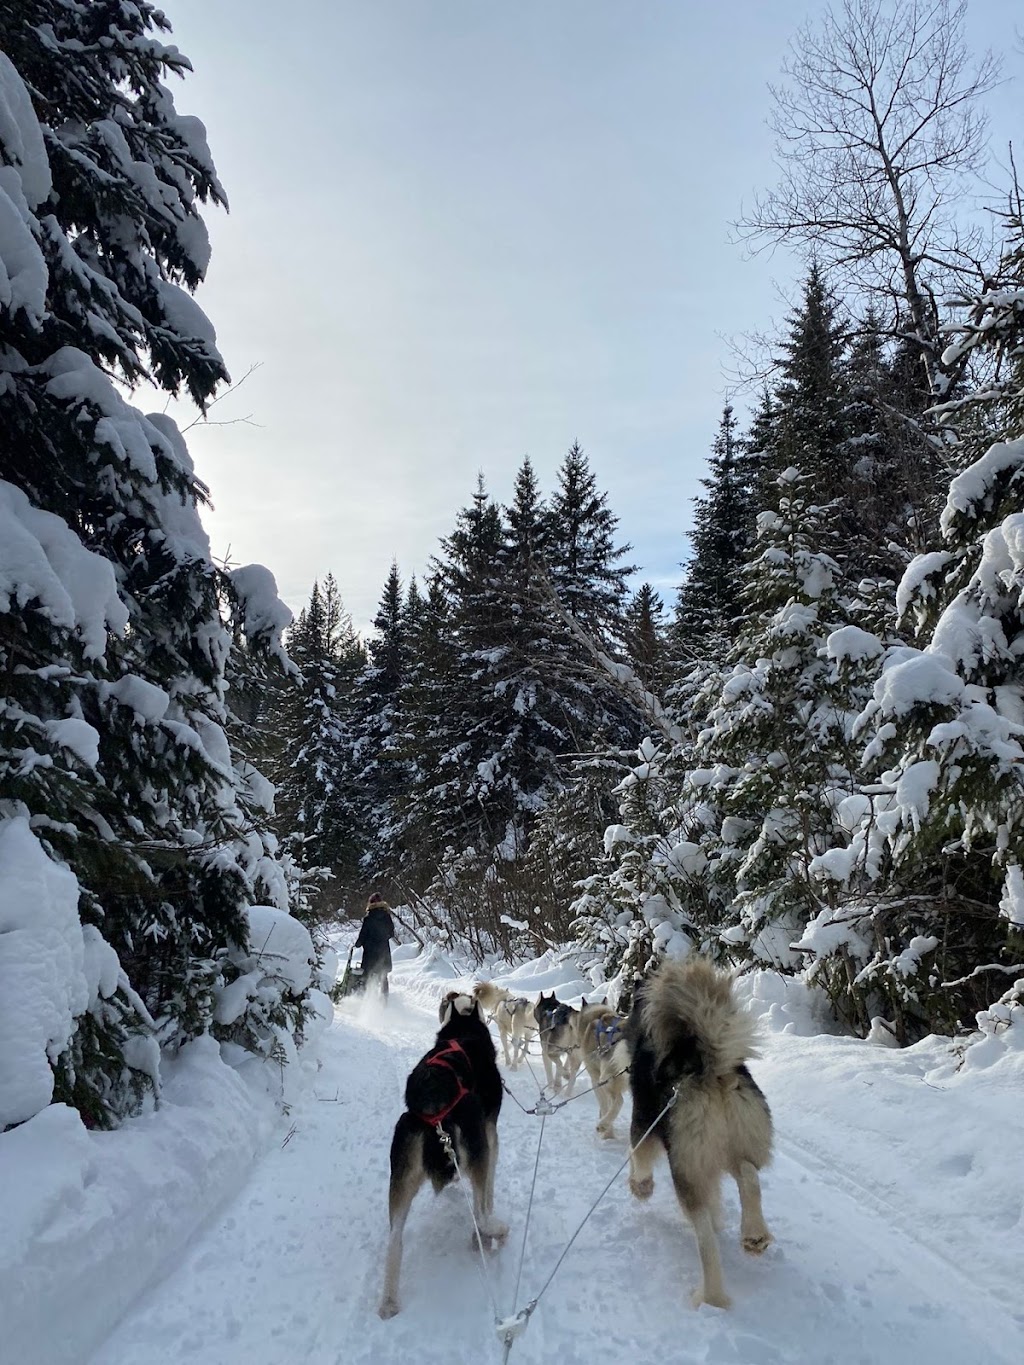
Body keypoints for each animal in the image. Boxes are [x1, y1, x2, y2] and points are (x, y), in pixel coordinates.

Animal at [379, 988, 507, 1315]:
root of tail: (432, 1102)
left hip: (400, 1177)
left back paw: (389, 1303)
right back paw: (496, 1231)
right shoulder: (491, 1134)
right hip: (478, 1142)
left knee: (394, 1239)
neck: (462, 1027)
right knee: (481, 1214)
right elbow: (489, 1190)